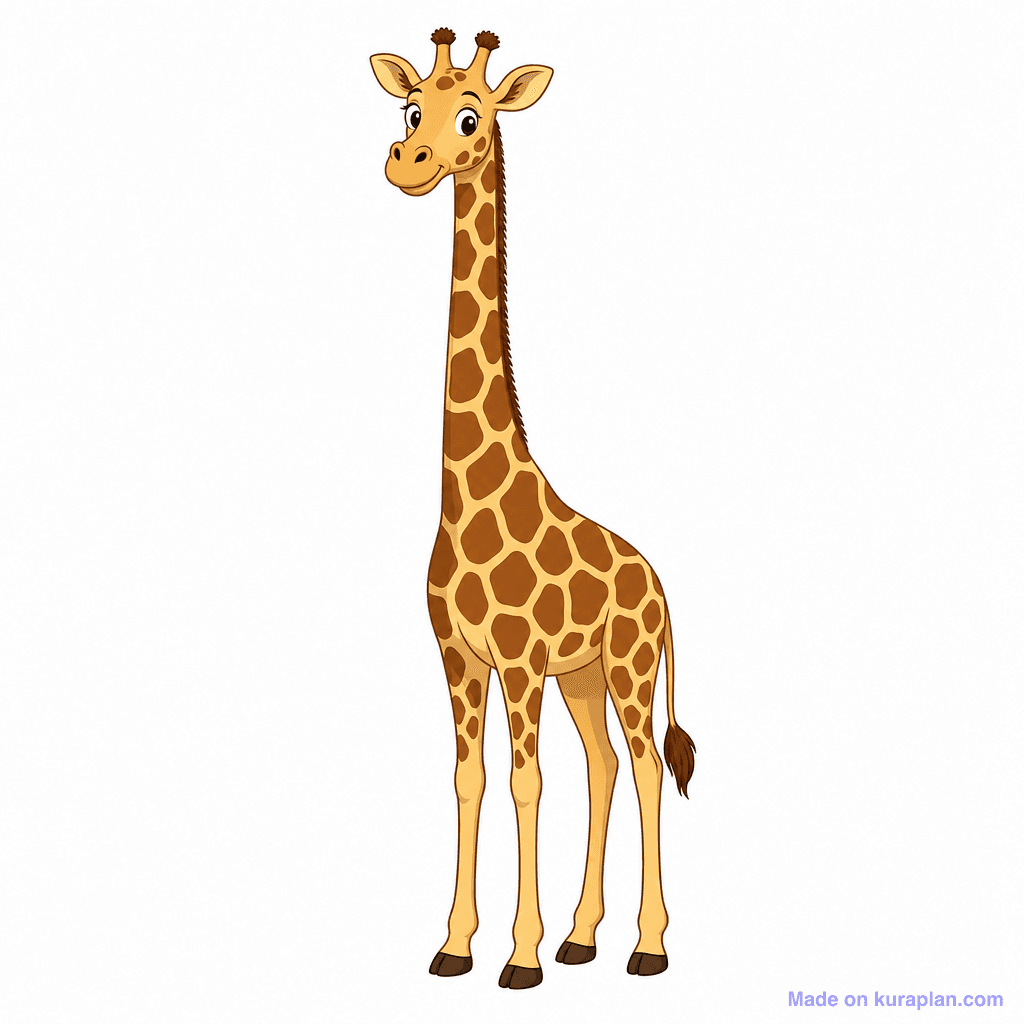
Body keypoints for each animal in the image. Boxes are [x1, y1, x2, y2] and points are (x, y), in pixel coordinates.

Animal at [370, 28, 695, 990]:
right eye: (412, 107)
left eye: (471, 118)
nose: (407, 163)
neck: (470, 496)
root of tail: (660, 585)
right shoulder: (457, 657)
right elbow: (469, 779)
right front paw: (455, 946)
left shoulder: (517, 661)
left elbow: (525, 783)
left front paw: (519, 956)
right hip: (584, 676)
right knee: (605, 765)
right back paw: (586, 937)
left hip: (627, 667)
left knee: (646, 765)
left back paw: (648, 947)